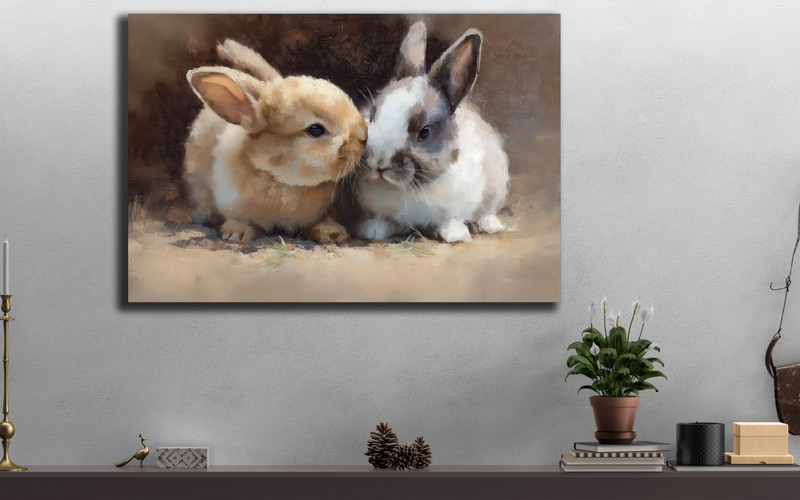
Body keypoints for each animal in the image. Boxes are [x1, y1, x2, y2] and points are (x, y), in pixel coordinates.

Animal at [183, 39, 367, 244]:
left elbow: (321, 220)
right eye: (316, 130)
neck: (280, 180)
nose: (363, 137)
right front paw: (236, 234)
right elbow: (238, 219)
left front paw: (333, 233)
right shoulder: (230, 201)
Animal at [350, 21, 510, 243]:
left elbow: (450, 219)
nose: (379, 163)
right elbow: (382, 221)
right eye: (372, 115)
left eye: (424, 132)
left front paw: (455, 234)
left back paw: (490, 225)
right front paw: (371, 230)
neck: (411, 187)